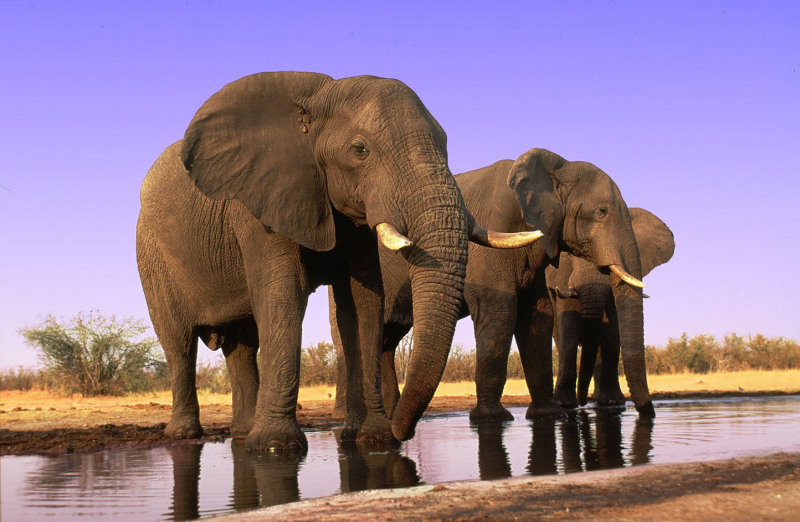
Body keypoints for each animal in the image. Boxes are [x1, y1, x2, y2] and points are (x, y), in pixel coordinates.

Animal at [136, 71, 536, 452]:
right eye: (360, 150)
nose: (403, 433)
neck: (318, 98)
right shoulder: (259, 204)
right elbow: (282, 294)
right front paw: (276, 447)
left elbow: (364, 302)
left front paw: (373, 438)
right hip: (151, 258)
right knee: (179, 343)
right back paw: (187, 434)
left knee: (243, 344)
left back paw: (243, 433)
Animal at [332, 144, 656, 420]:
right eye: (601, 211)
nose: (647, 413)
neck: (555, 167)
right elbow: (500, 311)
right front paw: (493, 418)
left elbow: (538, 317)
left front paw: (548, 414)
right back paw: (347, 417)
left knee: (388, 339)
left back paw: (391, 413)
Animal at [548, 206, 672, 406]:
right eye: (569, 254)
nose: (582, 402)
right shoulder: (560, 277)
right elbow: (569, 328)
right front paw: (564, 403)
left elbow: (612, 331)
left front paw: (612, 401)